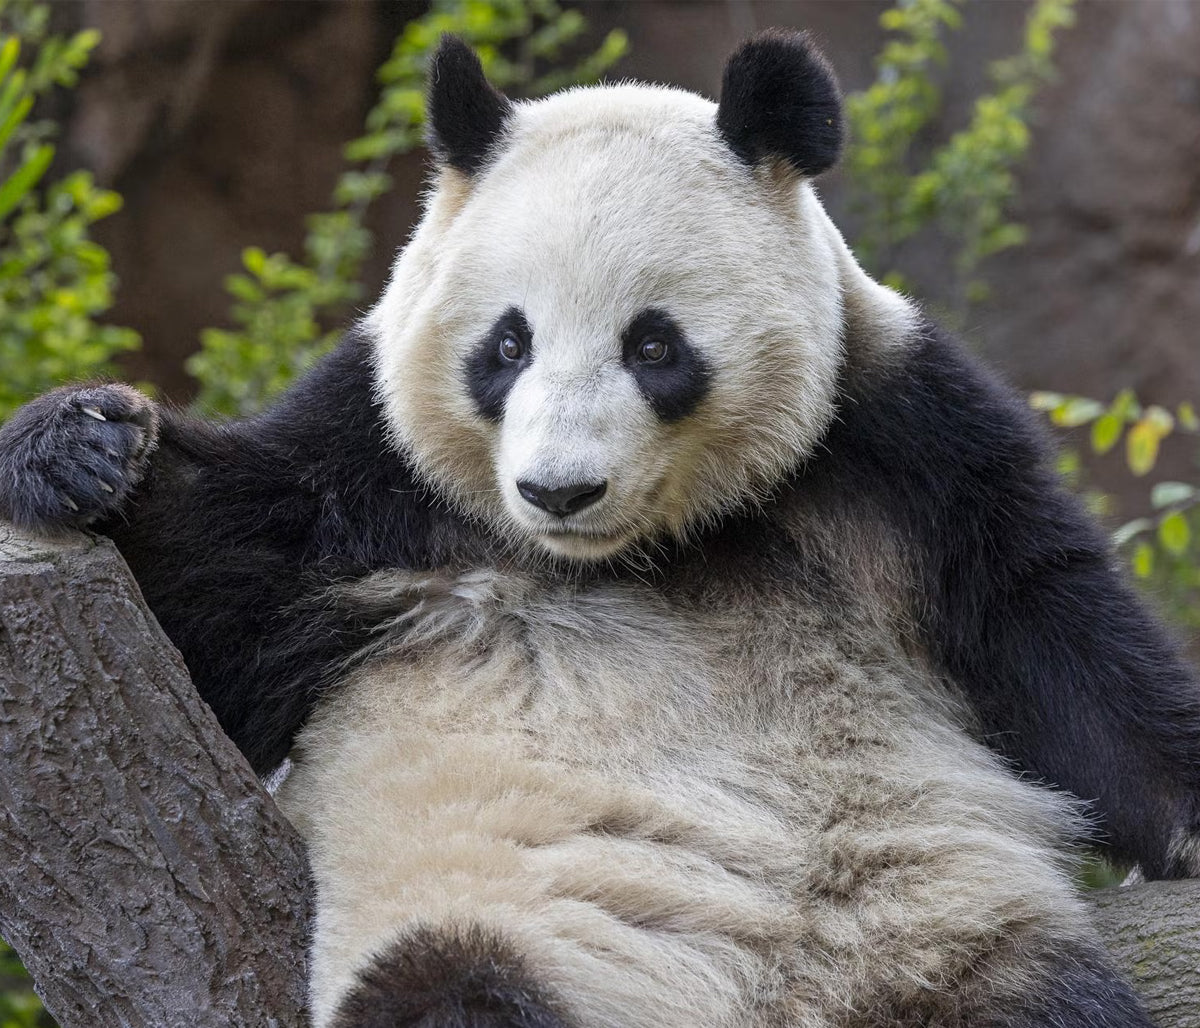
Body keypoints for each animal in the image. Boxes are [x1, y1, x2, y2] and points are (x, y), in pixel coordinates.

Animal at [0, 28, 1196, 1028]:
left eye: (654, 345)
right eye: (507, 343)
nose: (557, 491)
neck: (651, 549)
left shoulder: (892, 437)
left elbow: (1047, 622)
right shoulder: (370, 488)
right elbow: (219, 594)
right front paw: (81, 443)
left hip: (946, 923)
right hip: (521, 924)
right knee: (448, 992)